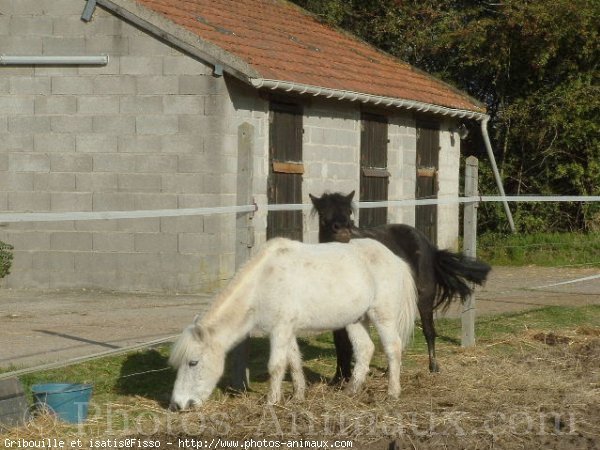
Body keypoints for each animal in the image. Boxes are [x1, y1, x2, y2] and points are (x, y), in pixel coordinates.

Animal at [169, 237, 418, 410]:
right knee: (365, 350)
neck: (262, 283)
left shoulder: (279, 330)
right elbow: (294, 362)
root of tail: (395, 259)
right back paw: (351, 391)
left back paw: (392, 393)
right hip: (357, 320)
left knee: (393, 349)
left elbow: (276, 366)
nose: (177, 405)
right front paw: (298, 396)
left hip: (383, 317)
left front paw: (271, 402)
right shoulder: (286, 330)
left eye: (193, 362)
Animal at [310, 191, 492, 376]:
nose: (342, 231)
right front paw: (339, 377)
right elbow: (340, 341)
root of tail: (428, 244)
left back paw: (432, 367)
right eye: (323, 213)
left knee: (428, 331)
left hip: (424, 295)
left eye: (349, 212)